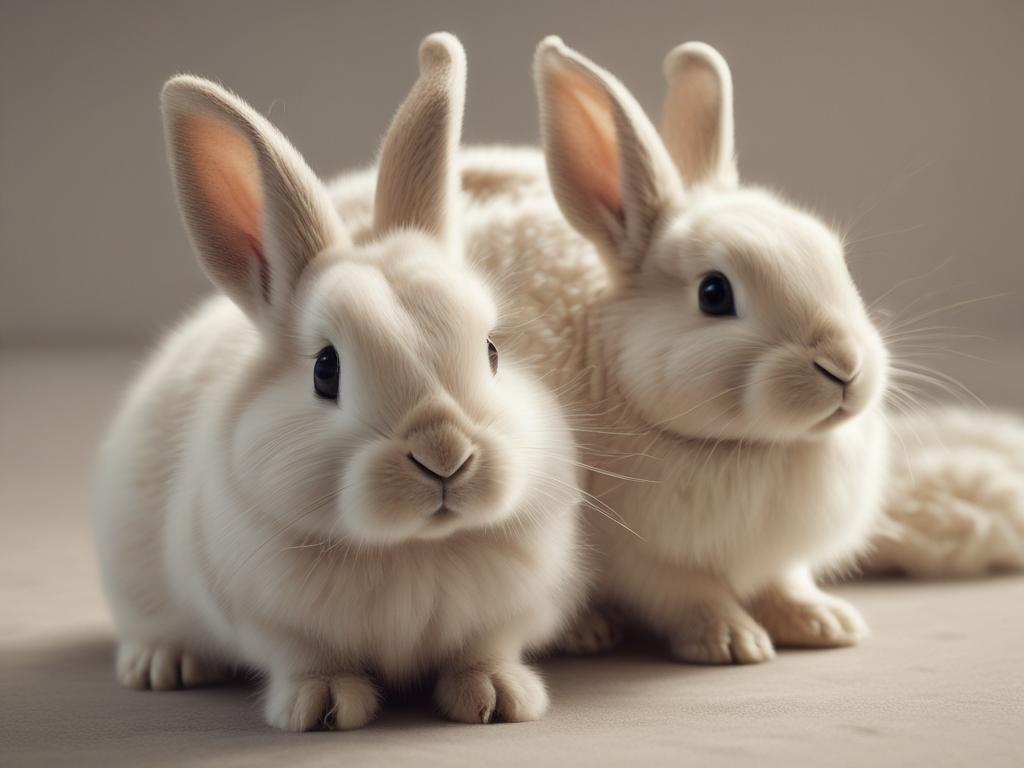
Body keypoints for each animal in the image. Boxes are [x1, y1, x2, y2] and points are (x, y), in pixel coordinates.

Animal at [94, 32, 585, 731]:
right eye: (326, 369)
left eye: (491, 351)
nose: (444, 454)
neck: (413, 549)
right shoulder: (280, 624)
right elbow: (310, 659)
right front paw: (323, 707)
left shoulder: (502, 615)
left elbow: (482, 649)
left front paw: (497, 697)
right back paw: (164, 665)